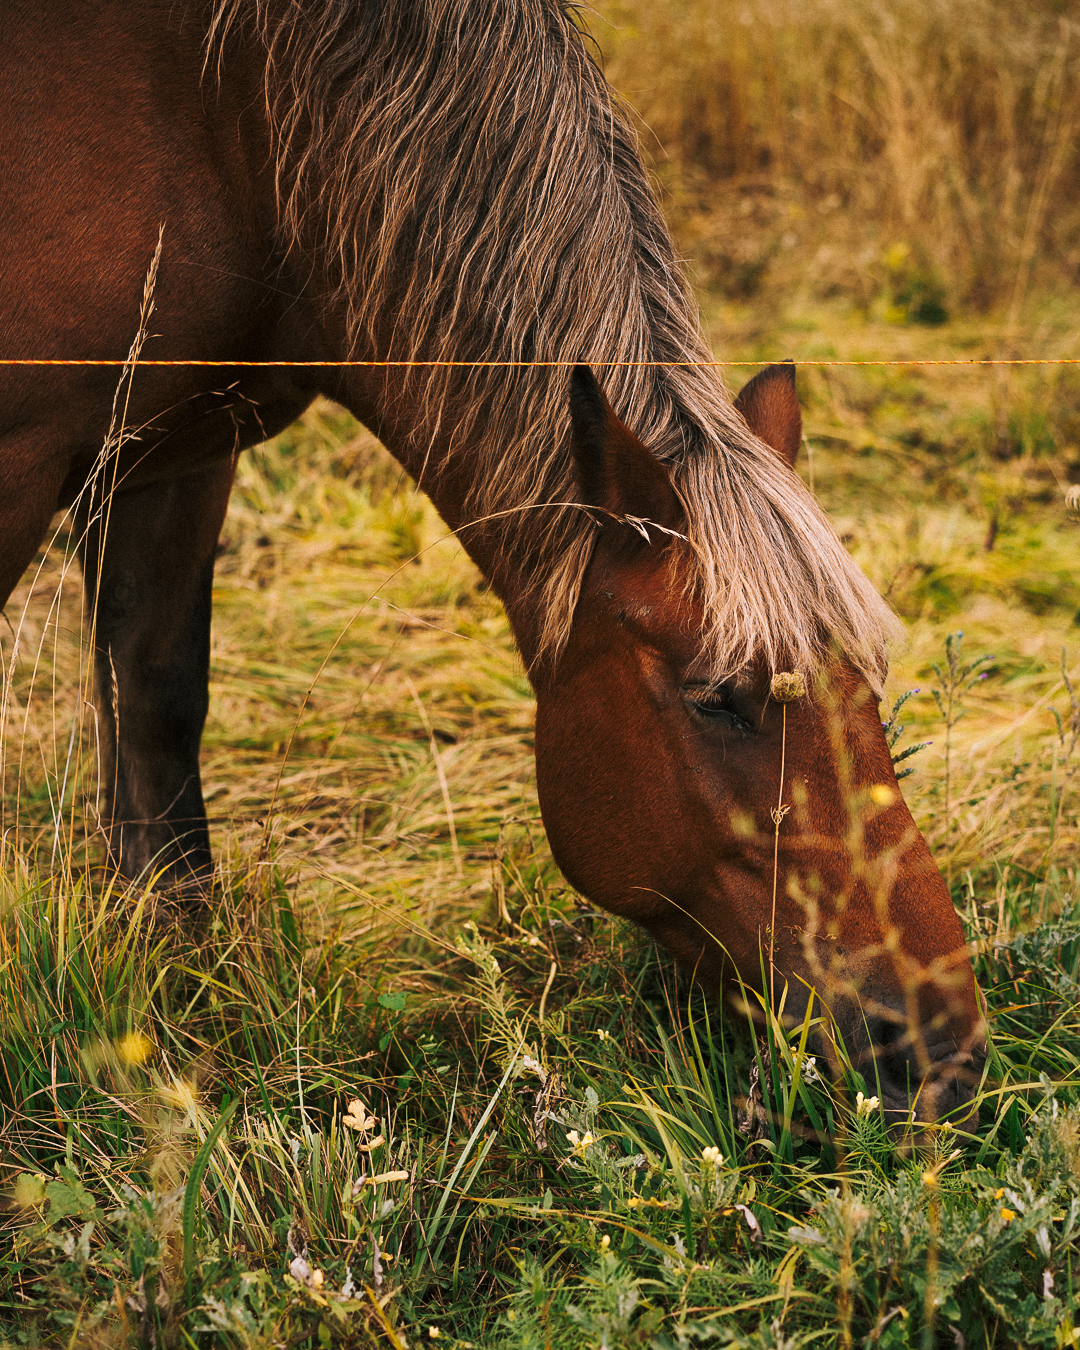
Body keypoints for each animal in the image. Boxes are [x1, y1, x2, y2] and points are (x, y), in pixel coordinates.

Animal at [0, 0, 983, 1123]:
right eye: (717, 698)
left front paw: (174, 984)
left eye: (867, 685)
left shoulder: (179, 446)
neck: (226, 117)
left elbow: (156, 708)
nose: (941, 1044)